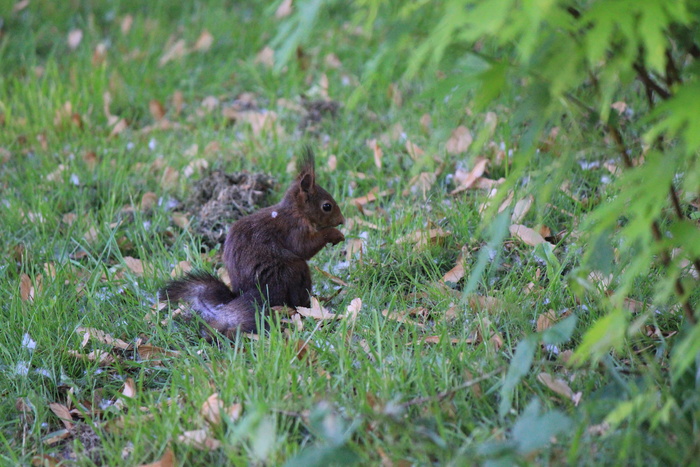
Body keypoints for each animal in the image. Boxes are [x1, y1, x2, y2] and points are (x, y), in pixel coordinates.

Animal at [159, 148, 344, 338]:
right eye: (327, 206)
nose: (342, 220)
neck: (296, 211)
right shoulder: (294, 229)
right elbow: (304, 247)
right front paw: (334, 234)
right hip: (292, 271)